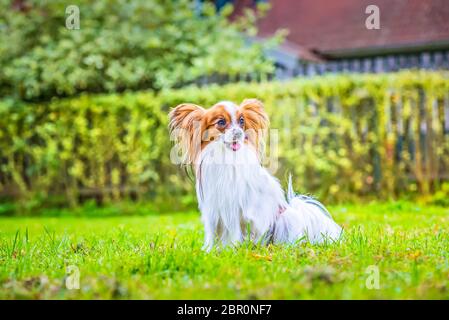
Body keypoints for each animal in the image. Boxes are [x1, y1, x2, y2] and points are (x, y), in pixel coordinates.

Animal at [170, 99, 342, 251]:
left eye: (241, 121)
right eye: (221, 122)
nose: (239, 133)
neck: (227, 157)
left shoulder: (241, 211)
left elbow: (239, 232)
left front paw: (234, 249)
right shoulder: (214, 211)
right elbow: (212, 234)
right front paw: (209, 251)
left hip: (286, 218)